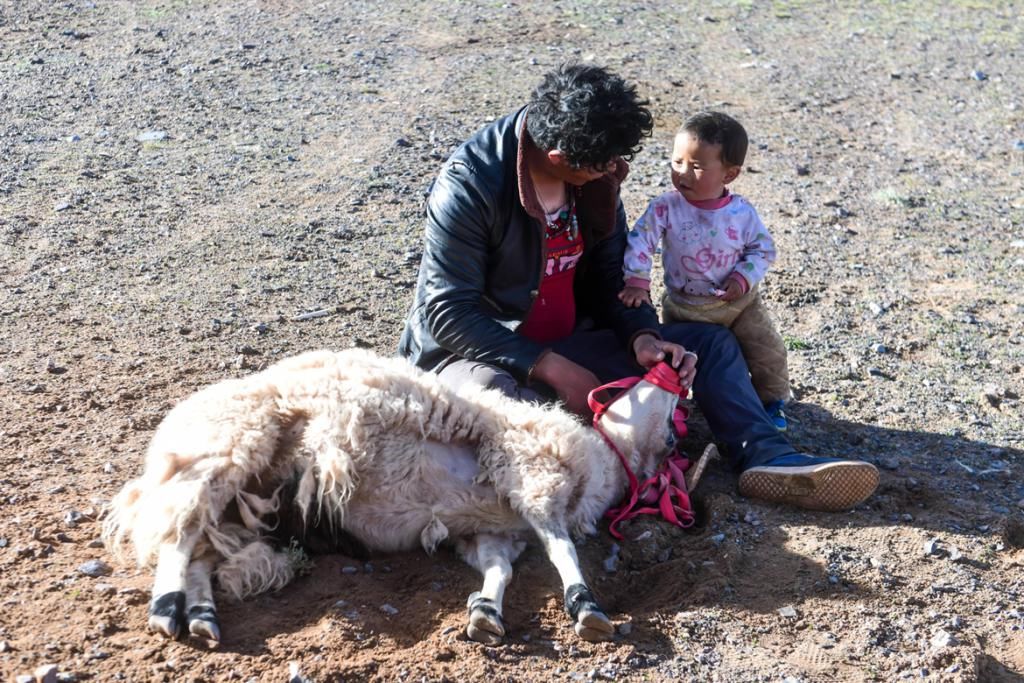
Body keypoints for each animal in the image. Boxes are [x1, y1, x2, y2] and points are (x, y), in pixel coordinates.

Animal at [103, 350, 684, 643]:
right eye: (633, 387)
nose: (678, 368)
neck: (604, 464)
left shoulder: (489, 532)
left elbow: (500, 569)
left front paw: (485, 612)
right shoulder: (530, 478)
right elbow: (562, 550)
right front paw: (585, 604)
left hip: (240, 508)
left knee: (200, 552)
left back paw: (201, 614)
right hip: (227, 450)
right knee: (179, 537)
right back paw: (168, 607)